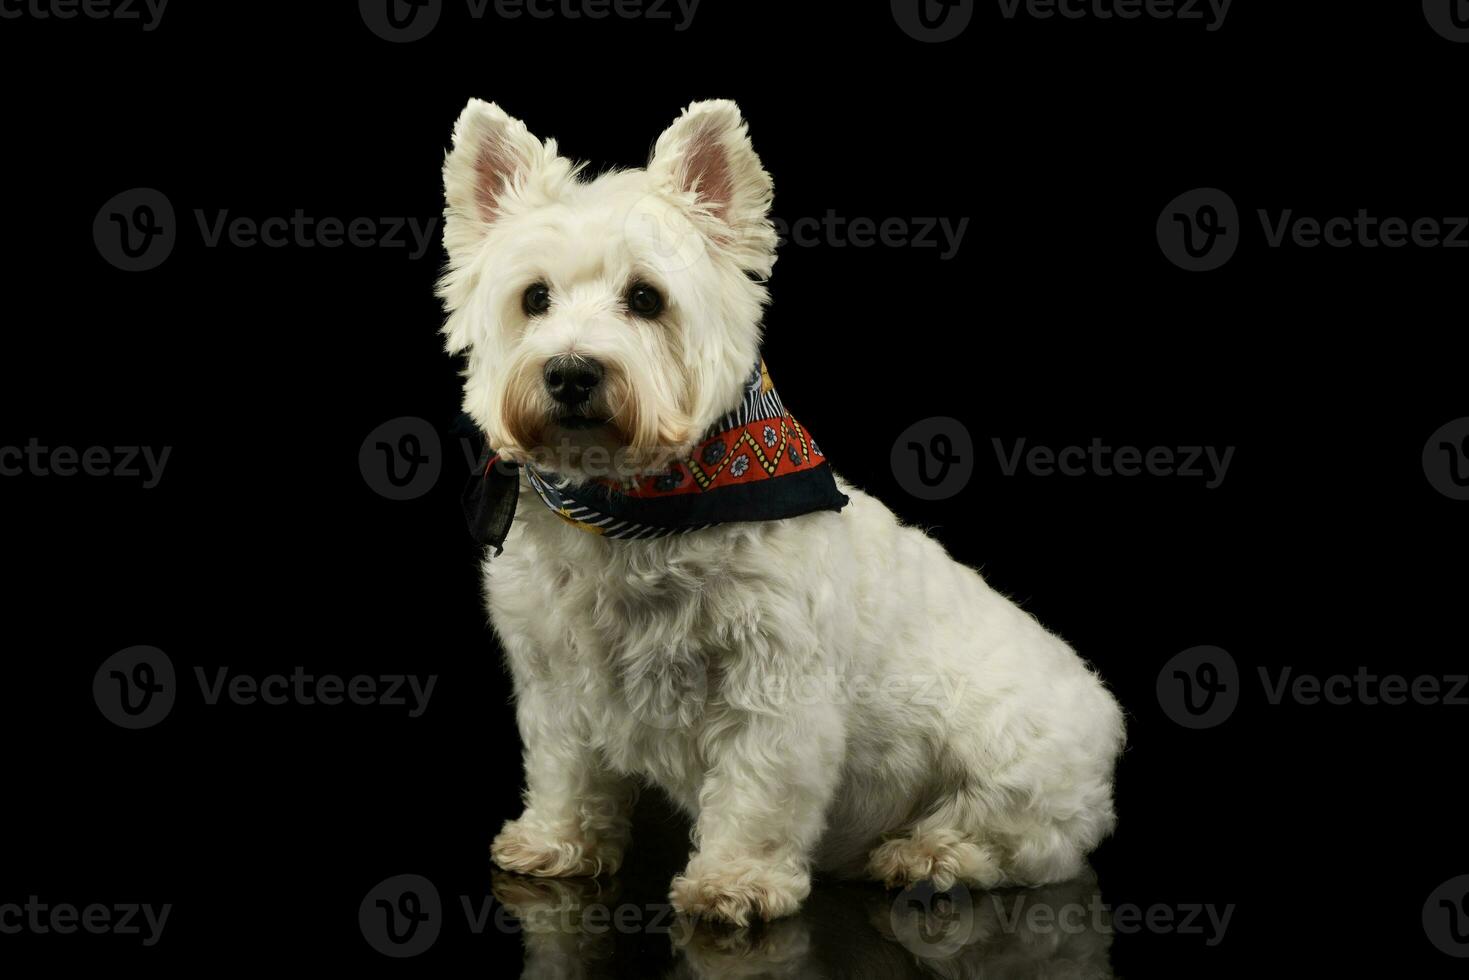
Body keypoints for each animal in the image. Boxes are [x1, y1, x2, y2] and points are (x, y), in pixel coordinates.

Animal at [434, 97, 1122, 928]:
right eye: (533, 298)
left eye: (645, 299)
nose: (569, 373)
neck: (631, 507)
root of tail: (1107, 719)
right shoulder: (555, 678)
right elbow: (566, 771)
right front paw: (555, 844)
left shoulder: (774, 688)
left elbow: (759, 791)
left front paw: (736, 880)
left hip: (1012, 751)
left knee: (1025, 840)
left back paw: (928, 855)